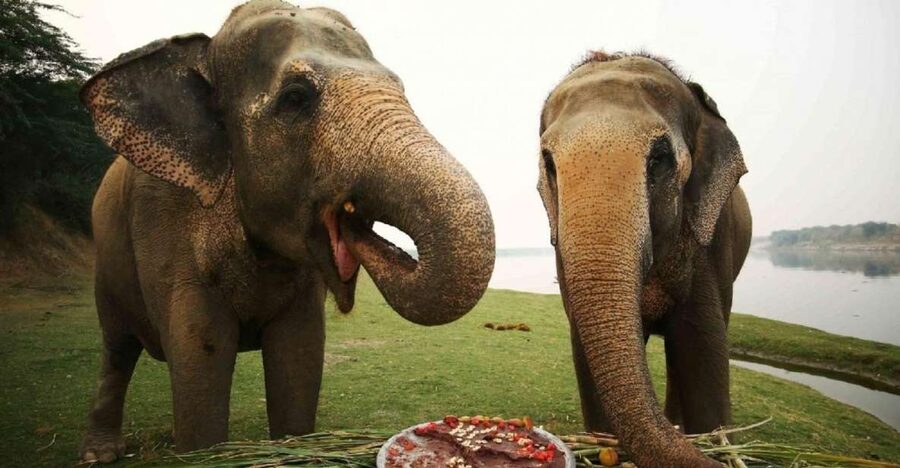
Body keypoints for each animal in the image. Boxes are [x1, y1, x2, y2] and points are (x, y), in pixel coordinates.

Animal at [78, 0, 494, 462]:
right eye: (296, 97)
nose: (394, 250)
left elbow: (299, 352)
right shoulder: (162, 214)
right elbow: (199, 352)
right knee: (116, 347)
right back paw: (99, 453)